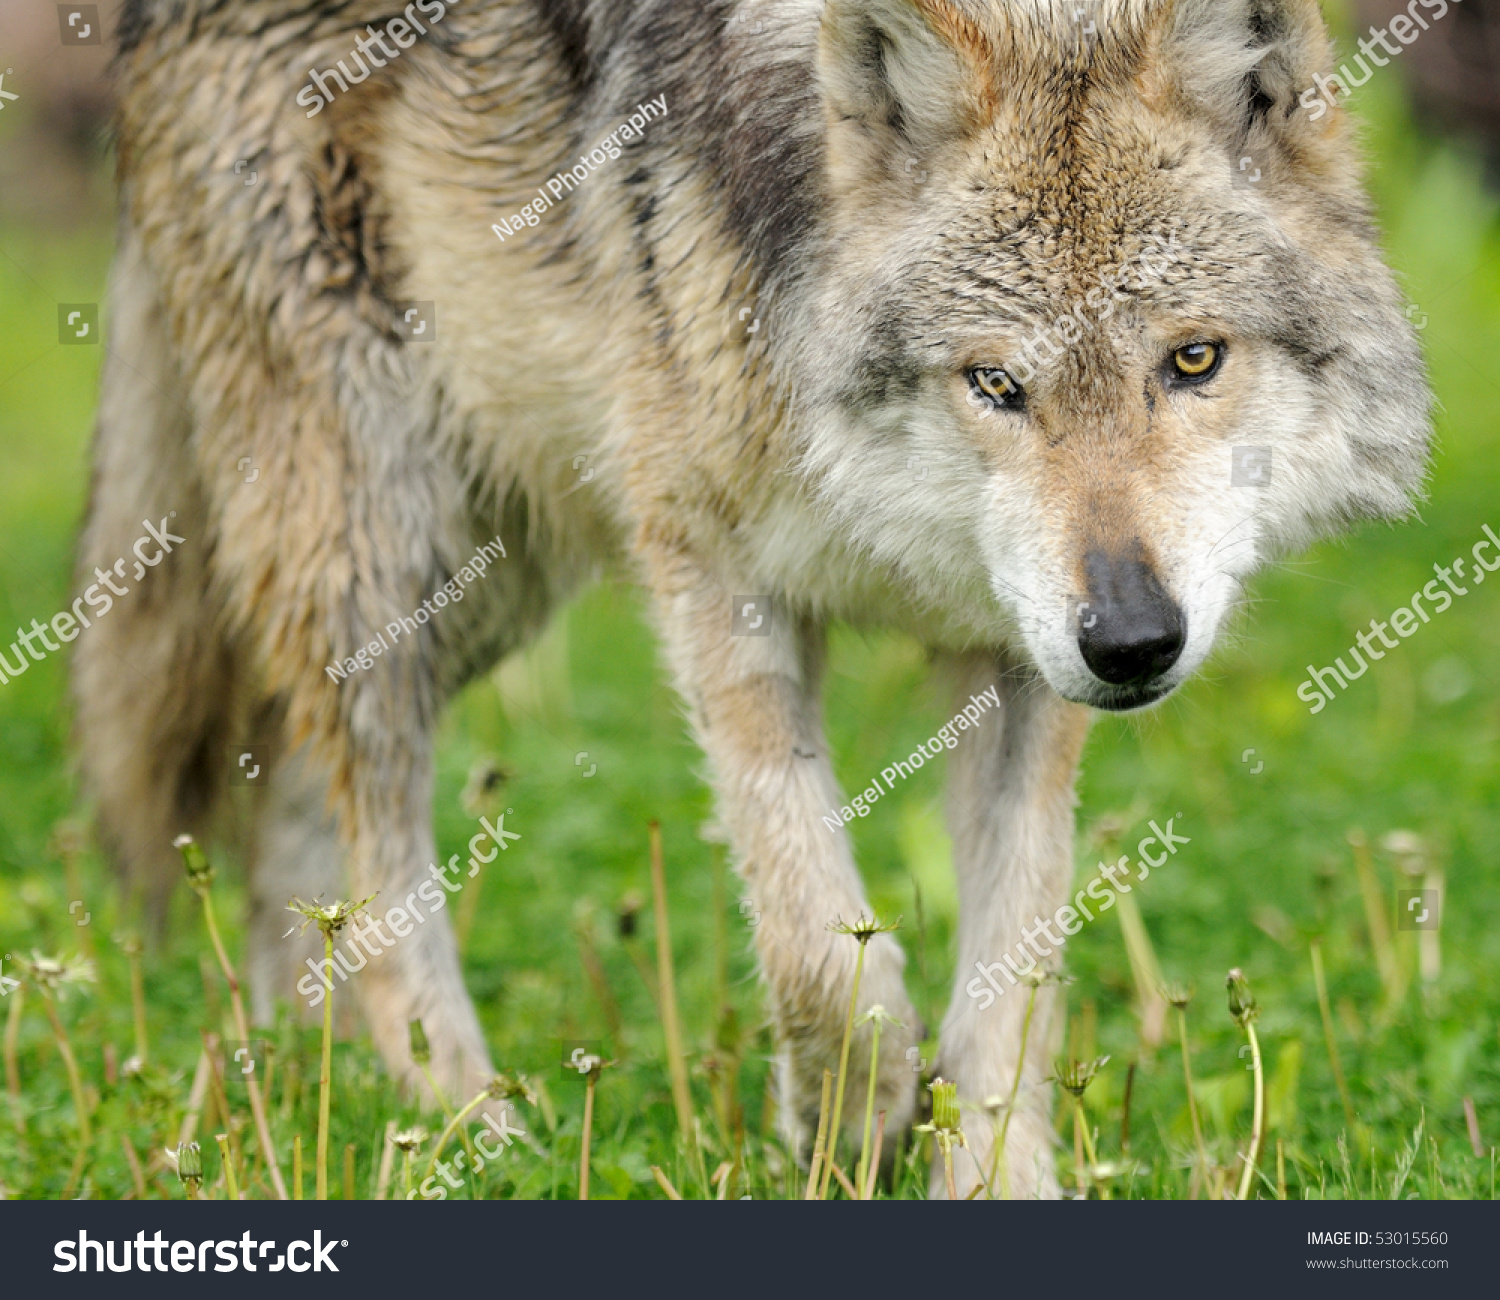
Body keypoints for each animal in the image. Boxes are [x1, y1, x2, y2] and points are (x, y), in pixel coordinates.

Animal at [79, 0, 1428, 1199]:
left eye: (1193, 360)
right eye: (995, 384)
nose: (1136, 642)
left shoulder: (1026, 656)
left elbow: (1014, 973)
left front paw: (996, 1182)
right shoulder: (708, 571)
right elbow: (819, 945)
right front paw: (848, 1126)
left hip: (488, 576)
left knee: (291, 823)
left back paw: (303, 1087)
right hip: (395, 544)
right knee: (369, 839)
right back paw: (466, 1136)